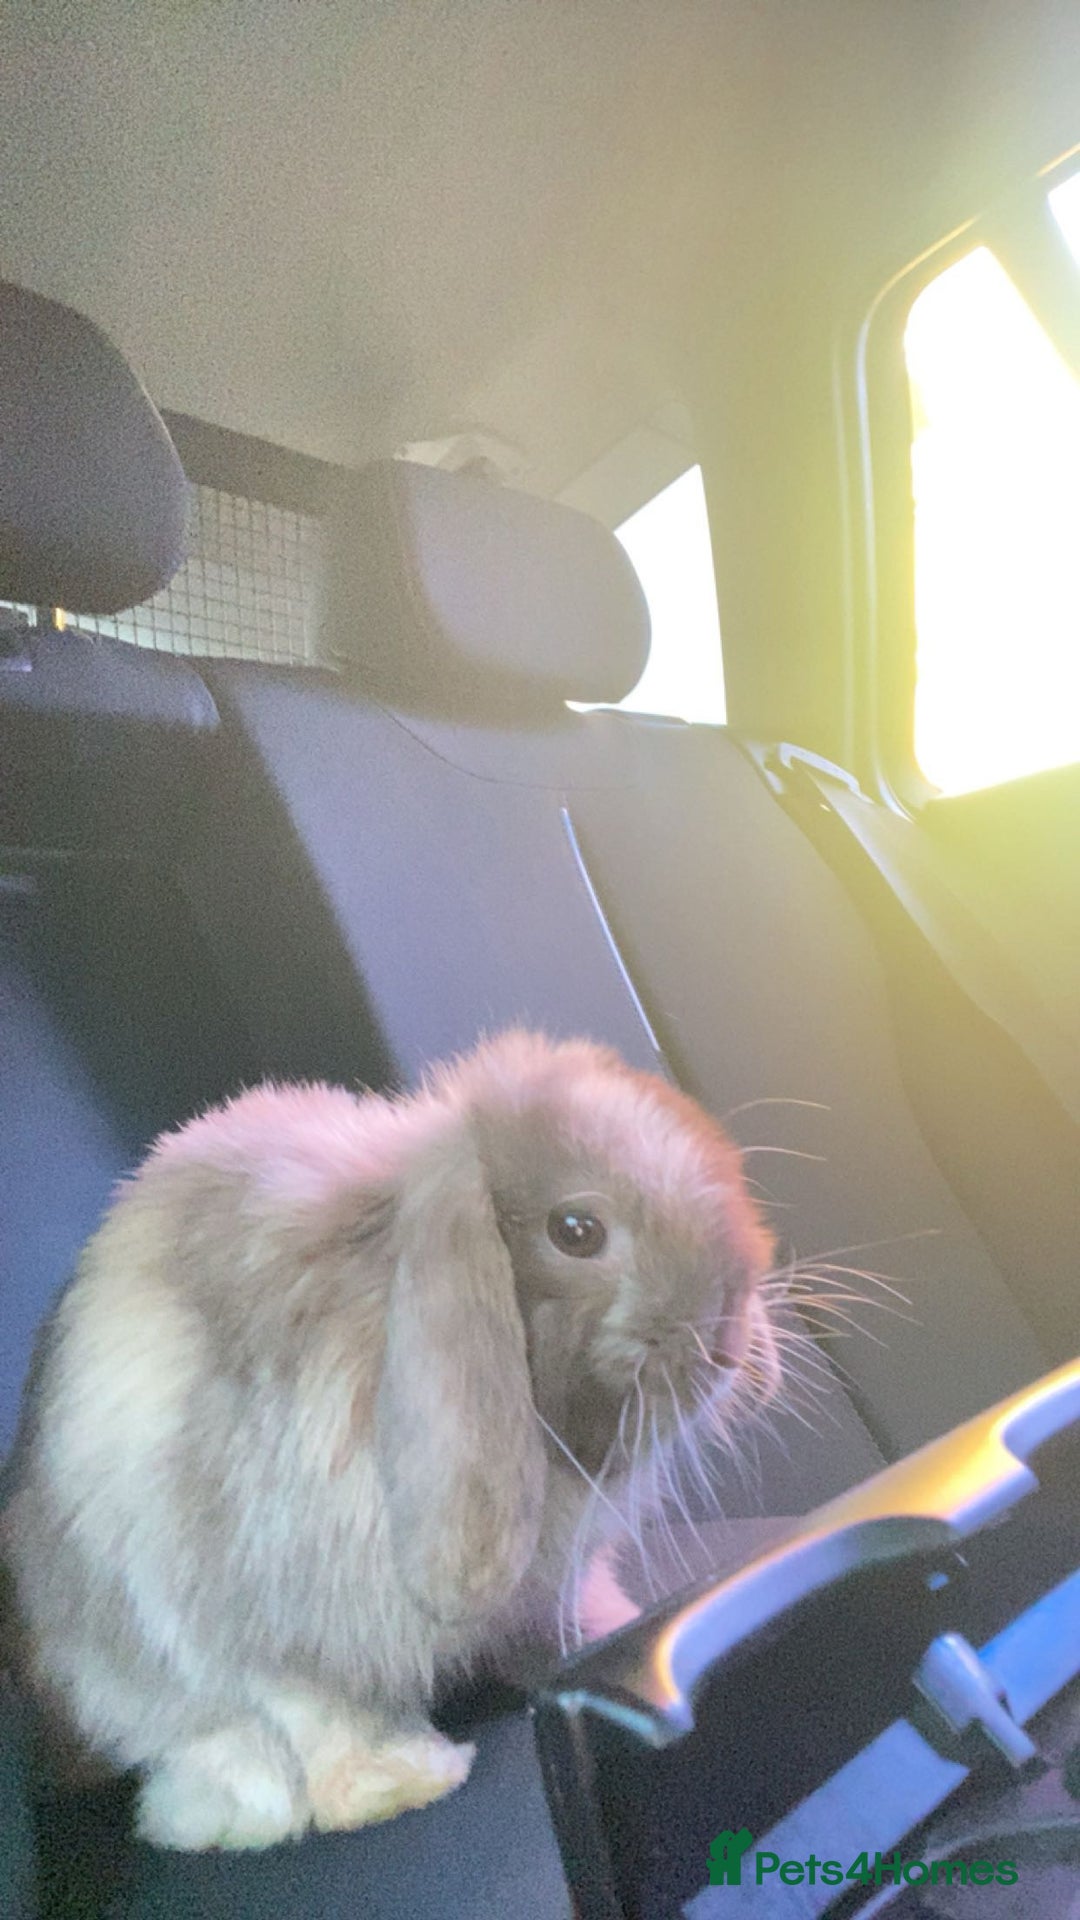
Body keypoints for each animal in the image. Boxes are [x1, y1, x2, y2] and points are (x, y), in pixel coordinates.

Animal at [0, 1029, 779, 1852]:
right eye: (576, 1231)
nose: (728, 1337)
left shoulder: (543, 1584)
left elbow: (557, 1619)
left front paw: (612, 1630)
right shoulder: (256, 1609)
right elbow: (317, 1706)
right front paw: (400, 1783)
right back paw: (237, 1807)